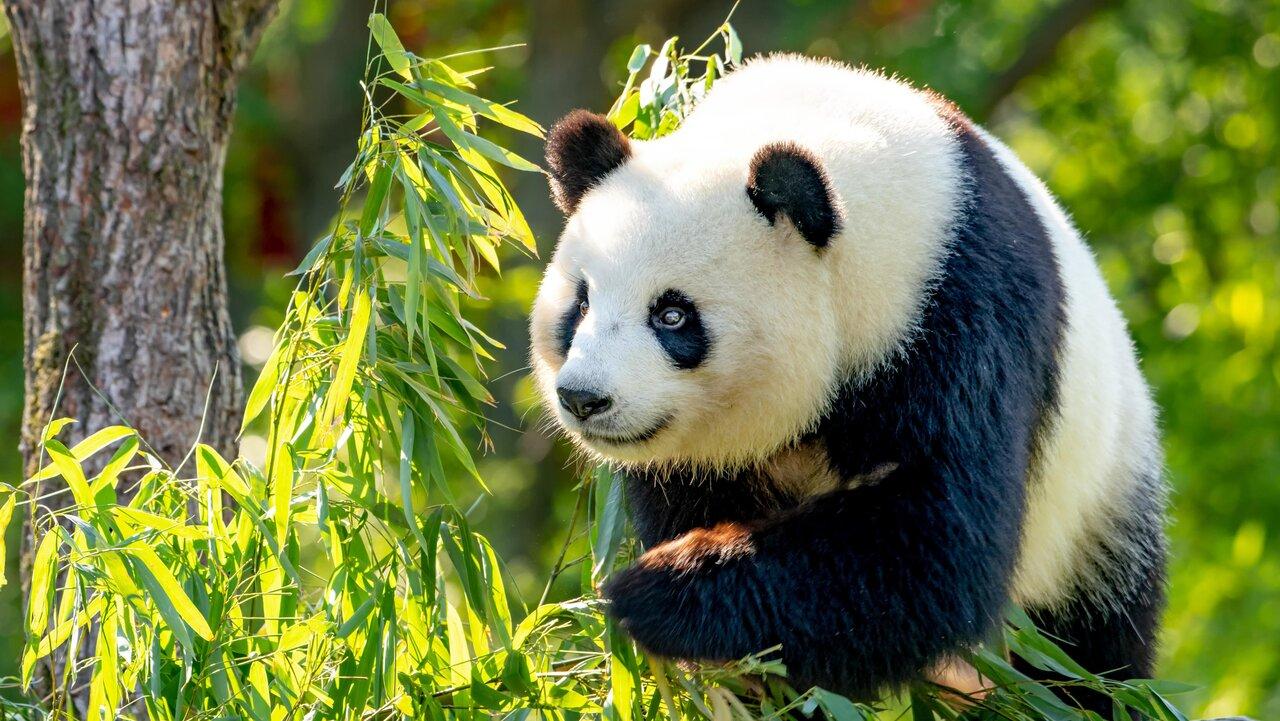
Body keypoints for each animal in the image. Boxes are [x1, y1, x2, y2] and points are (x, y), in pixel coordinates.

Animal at [529, 55, 1167, 711]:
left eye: (673, 315)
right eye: (581, 303)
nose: (584, 398)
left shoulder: (960, 316)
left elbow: (926, 544)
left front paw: (661, 589)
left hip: (1091, 513)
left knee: (1088, 656)